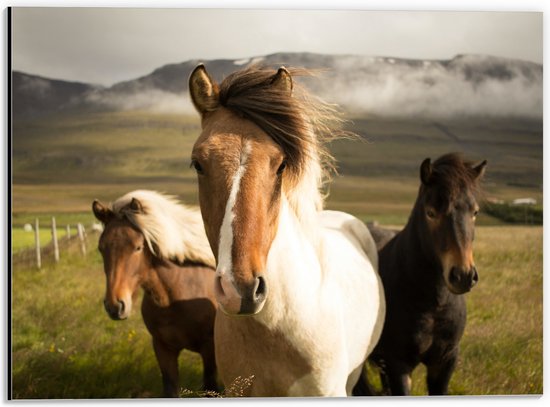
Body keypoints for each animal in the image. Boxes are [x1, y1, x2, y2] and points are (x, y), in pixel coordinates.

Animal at [91, 190, 219, 398]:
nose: (115, 306)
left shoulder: (209, 350)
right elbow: (170, 389)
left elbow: (211, 387)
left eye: (138, 247)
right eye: (101, 248)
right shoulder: (163, 349)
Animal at [358, 153, 488, 396]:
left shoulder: (445, 362)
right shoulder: (398, 365)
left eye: (475, 212)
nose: (463, 275)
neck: (433, 305)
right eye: (431, 213)